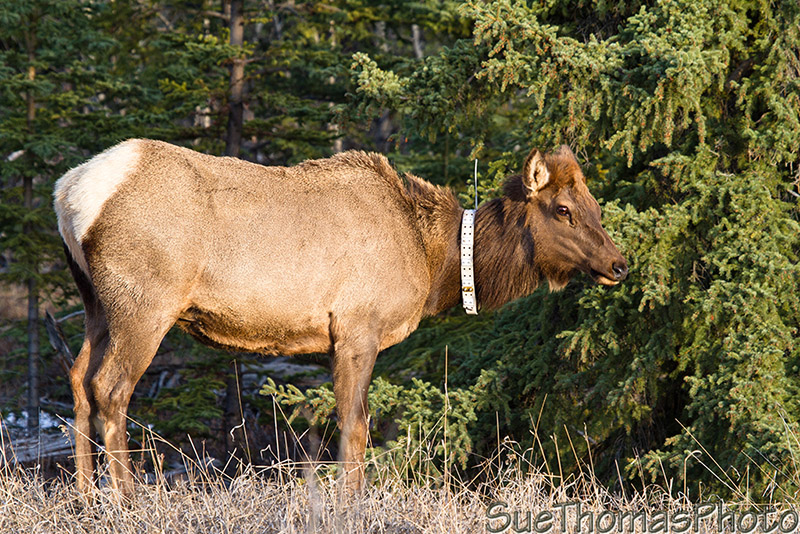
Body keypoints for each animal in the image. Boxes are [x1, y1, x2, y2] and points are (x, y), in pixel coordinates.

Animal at [54, 140, 628, 496]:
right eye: (562, 210)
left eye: (595, 206)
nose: (618, 265)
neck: (435, 261)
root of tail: (66, 193)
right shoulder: (357, 327)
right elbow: (356, 426)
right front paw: (351, 503)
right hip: (144, 303)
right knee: (111, 387)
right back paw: (127, 499)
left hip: (96, 302)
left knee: (78, 378)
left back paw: (86, 497)